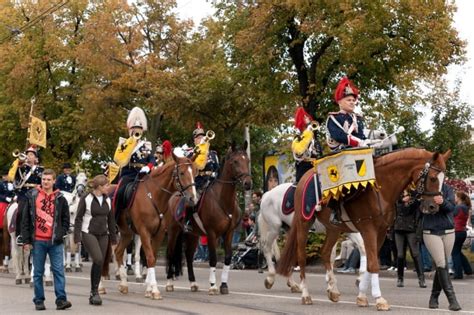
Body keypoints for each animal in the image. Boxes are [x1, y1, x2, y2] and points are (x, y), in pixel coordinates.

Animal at [114, 154, 197, 302]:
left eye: (194, 172)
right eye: (182, 173)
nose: (193, 198)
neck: (153, 196)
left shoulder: (159, 234)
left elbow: (151, 259)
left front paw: (149, 289)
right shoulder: (144, 232)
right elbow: (150, 258)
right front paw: (155, 290)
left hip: (126, 233)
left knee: (118, 252)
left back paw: (123, 284)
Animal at [166, 143, 254, 296]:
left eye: (247, 160)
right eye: (235, 161)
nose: (248, 183)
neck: (223, 201)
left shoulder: (229, 233)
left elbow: (228, 258)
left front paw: (224, 285)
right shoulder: (212, 234)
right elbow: (212, 259)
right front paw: (213, 286)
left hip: (192, 235)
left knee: (188, 255)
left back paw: (193, 283)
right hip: (173, 232)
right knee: (171, 253)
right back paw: (169, 282)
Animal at [278, 149, 452, 312]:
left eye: (444, 179)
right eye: (433, 178)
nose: (433, 206)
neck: (381, 189)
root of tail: (304, 177)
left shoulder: (381, 232)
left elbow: (369, 262)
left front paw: (362, 297)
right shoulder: (369, 229)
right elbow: (373, 263)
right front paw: (379, 299)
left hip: (334, 228)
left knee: (326, 253)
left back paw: (332, 290)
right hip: (304, 223)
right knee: (301, 257)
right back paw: (306, 294)